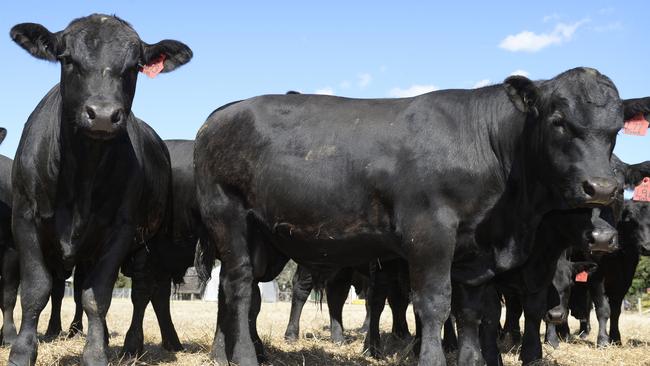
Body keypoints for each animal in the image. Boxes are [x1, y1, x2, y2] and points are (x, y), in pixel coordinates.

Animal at [8, 14, 190, 366]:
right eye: (67, 59)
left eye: (134, 67)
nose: (104, 115)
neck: (81, 175)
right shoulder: (24, 218)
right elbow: (37, 288)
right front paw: (22, 352)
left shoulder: (120, 230)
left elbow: (98, 295)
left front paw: (95, 354)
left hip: (151, 243)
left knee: (147, 292)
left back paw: (137, 343)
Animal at [192, 67, 644, 364]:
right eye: (558, 121)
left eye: (616, 129)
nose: (601, 187)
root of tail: (221, 114)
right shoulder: (430, 233)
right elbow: (433, 304)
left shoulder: (474, 254)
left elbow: (471, 312)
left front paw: (470, 359)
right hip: (229, 217)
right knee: (238, 288)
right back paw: (244, 357)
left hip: (263, 238)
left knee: (237, 291)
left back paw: (225, 353)